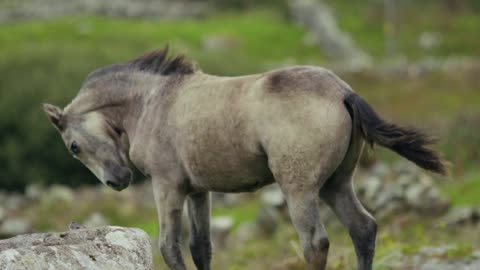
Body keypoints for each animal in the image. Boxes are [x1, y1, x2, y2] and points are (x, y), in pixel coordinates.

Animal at [43, 47, 444, 270]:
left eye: (73, 147)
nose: (117, 181)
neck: (152, 101)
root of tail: (344, 91)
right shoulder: (197, 190)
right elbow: (201, 248)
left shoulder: (167, 186)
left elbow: (169, 248)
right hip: (336, 183)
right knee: (363, 229)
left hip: (298, 188)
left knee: (316, 244)